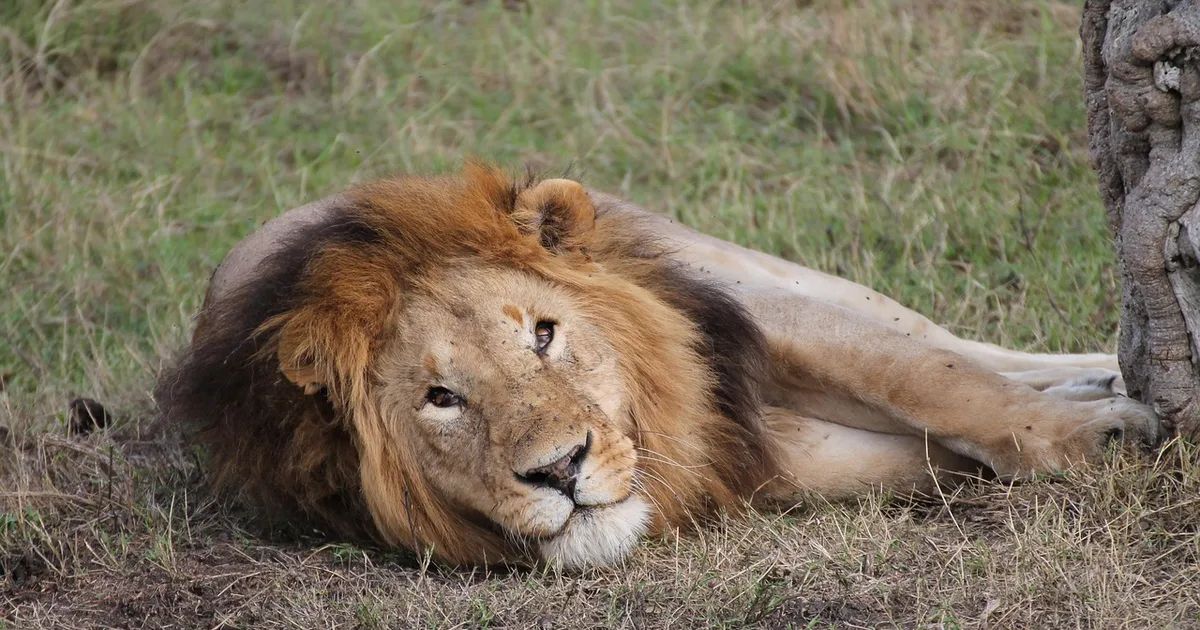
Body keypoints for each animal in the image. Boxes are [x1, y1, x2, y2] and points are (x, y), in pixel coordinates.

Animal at [156, 161, 1161, 569]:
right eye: (442, 398)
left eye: (545, 335)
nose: (560, 470)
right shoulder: (770, 457)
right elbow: (926, 452)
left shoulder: (745, 319)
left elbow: (930, 379)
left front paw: (1096, 434)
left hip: (746, 264)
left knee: (960, 344)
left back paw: (1109, 374)